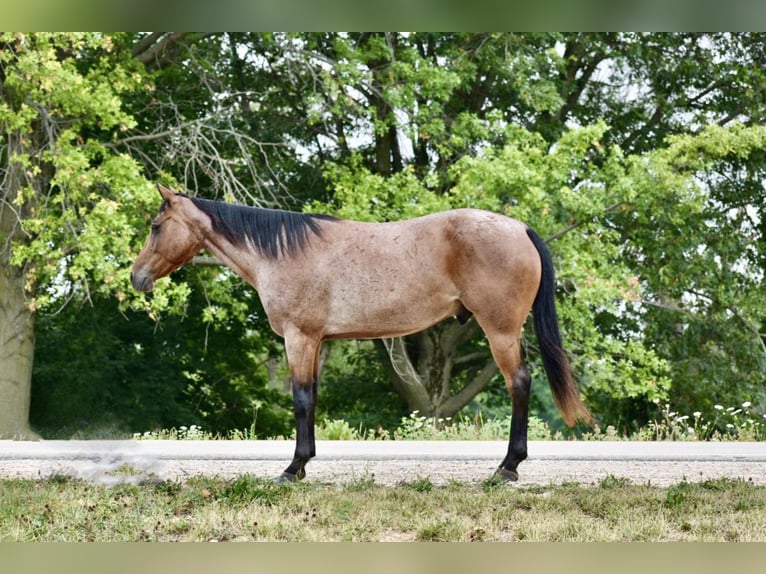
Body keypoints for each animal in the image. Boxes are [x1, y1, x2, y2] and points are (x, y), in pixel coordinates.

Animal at [130, 187, 592, 484]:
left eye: (156, 226)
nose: (137, 277)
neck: (281, 253)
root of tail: (520, 229)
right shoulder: (315, 341)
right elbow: (312, 398)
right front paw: (304, 464)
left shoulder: (299, 337)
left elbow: (301, 399)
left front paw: (291, 470)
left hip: (500, 331)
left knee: (520, 383)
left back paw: (507, 467)